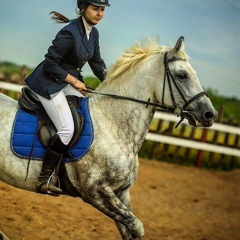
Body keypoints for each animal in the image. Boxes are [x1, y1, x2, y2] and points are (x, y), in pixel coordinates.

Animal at [0, 36, 218, 239]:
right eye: (182, 75)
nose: (210, 114)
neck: (113, 123)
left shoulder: (122, 193)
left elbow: (131, 230)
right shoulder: (96, 192)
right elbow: (137, 226)